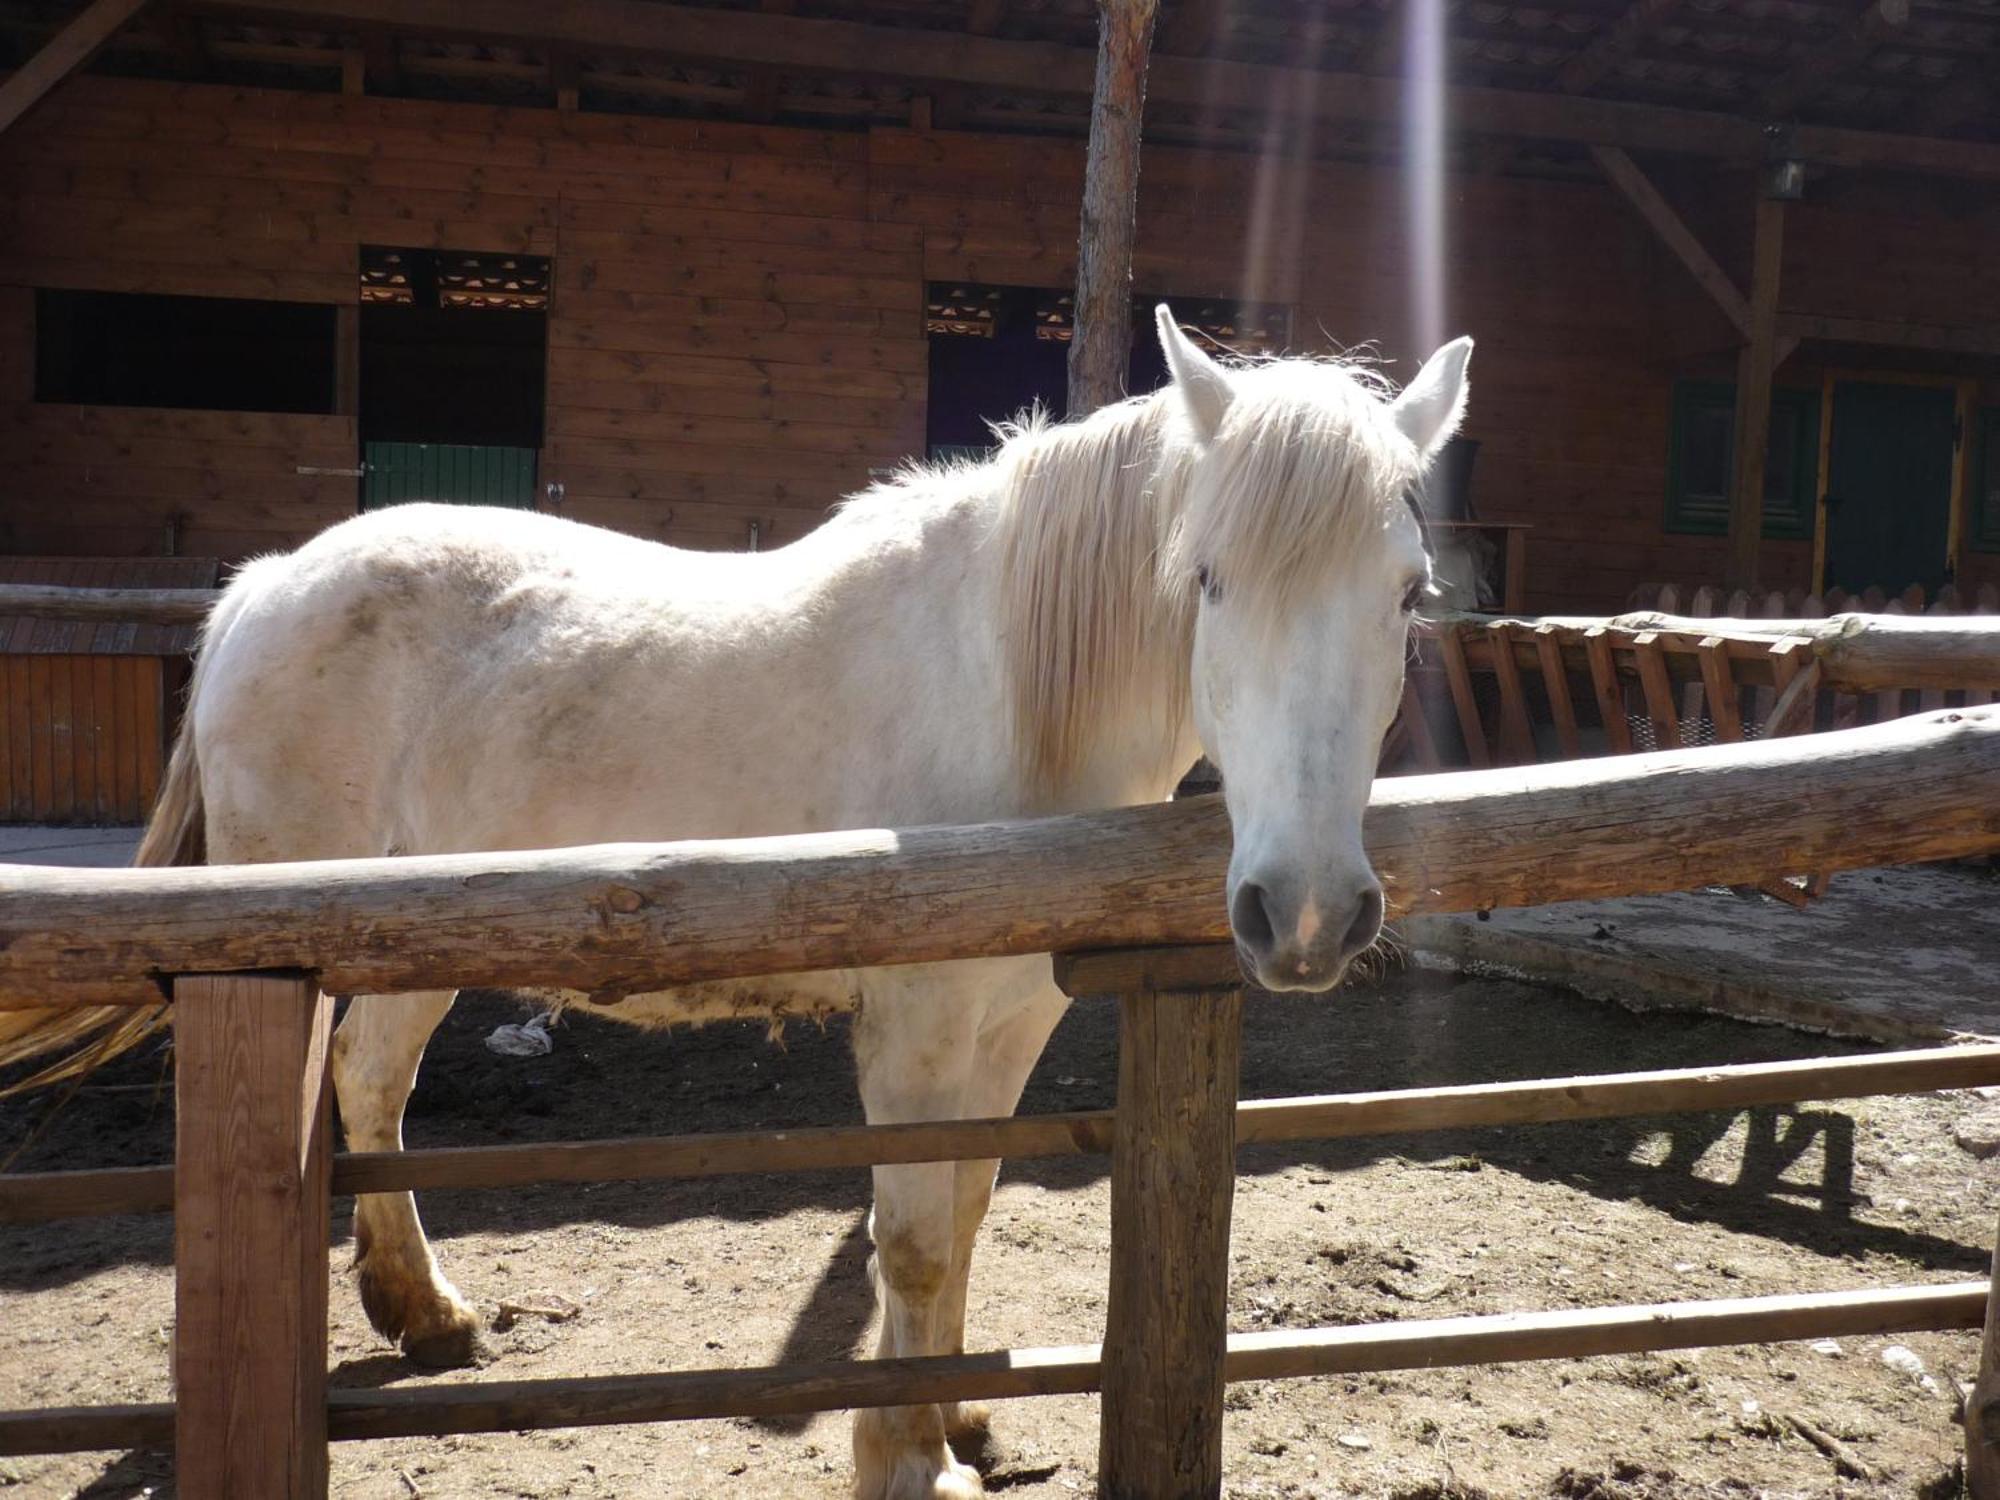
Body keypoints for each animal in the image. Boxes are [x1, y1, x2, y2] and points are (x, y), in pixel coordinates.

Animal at [0, 308, 1472, 1500]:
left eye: (1409, 593)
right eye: (1206, 576)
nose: (1304, 914)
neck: (1006, 689)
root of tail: (258, 593)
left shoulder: (1010, 1024)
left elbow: (968, 1208)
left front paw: (970, 1425)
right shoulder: (917, 1029)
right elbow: (913, 1240)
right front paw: (907, 1455)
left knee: (368, 1083)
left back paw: (424, 1315)